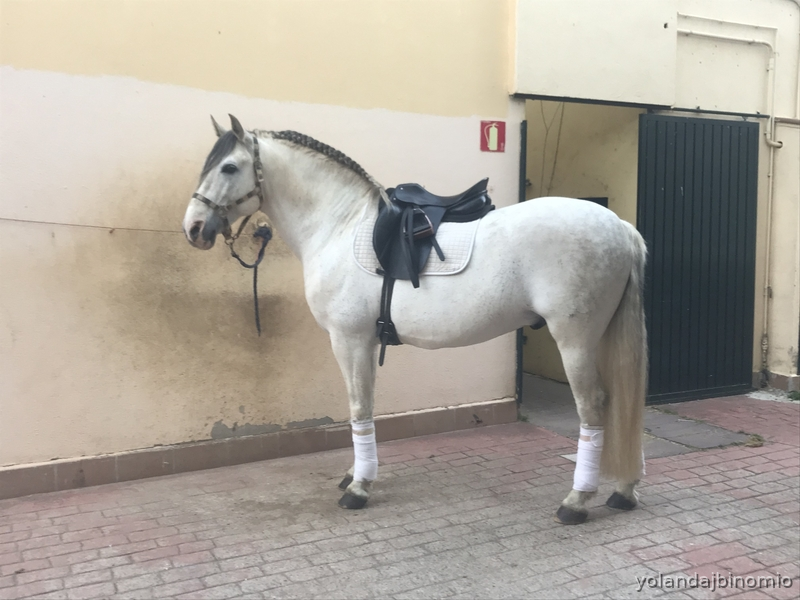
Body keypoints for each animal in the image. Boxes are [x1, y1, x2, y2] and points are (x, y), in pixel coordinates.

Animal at [182, 114, 648, 525]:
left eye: (229, 166)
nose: (194, 228)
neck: (338, 226)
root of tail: (621, 227)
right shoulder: (366, 342)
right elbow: (366, 406)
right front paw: (356, 474)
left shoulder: (349, 340)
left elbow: (358, 406)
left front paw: (359, 489)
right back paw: (623, 491)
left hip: (575, 340)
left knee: (594, 407)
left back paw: (576, 501)